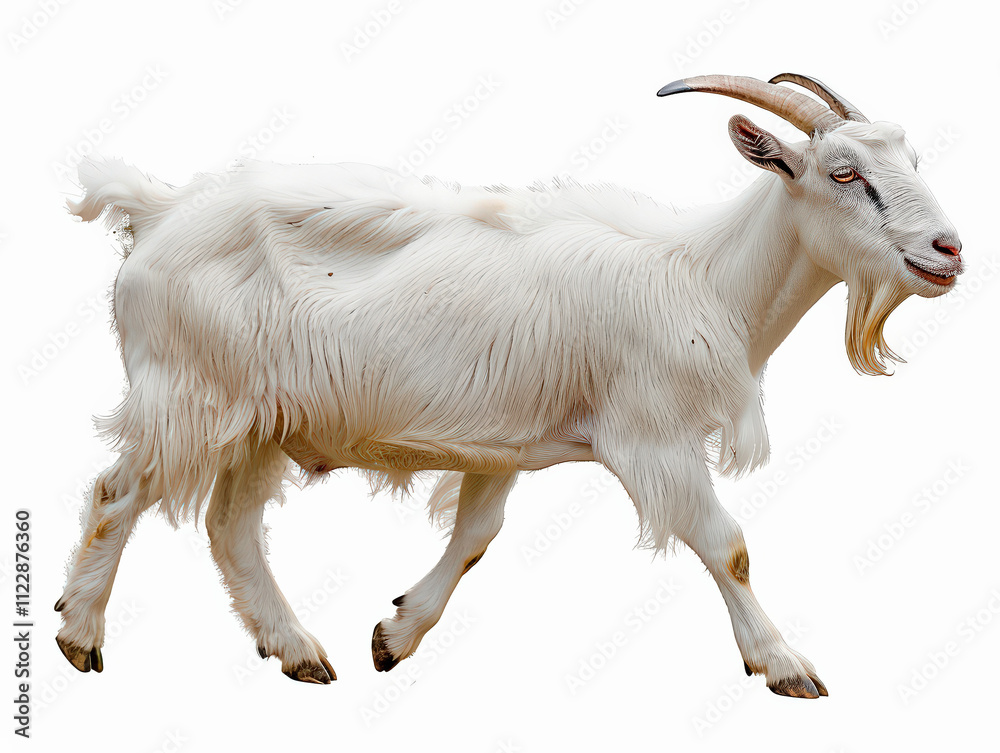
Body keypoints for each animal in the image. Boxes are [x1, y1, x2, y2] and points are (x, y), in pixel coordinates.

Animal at [56, 73, 962, 697]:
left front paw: (395, 634)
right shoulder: (651, 436)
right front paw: (784, 664)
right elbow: (726, 543)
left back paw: (297, 650)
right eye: (843, 173)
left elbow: (475, 536)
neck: (705, 280)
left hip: (264, 416)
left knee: (230, 525)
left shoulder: (501, 440)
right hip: (191, 392)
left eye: (912, 160)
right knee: (117, 492)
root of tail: (159, 209)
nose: (949, 249)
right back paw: (80, 634)